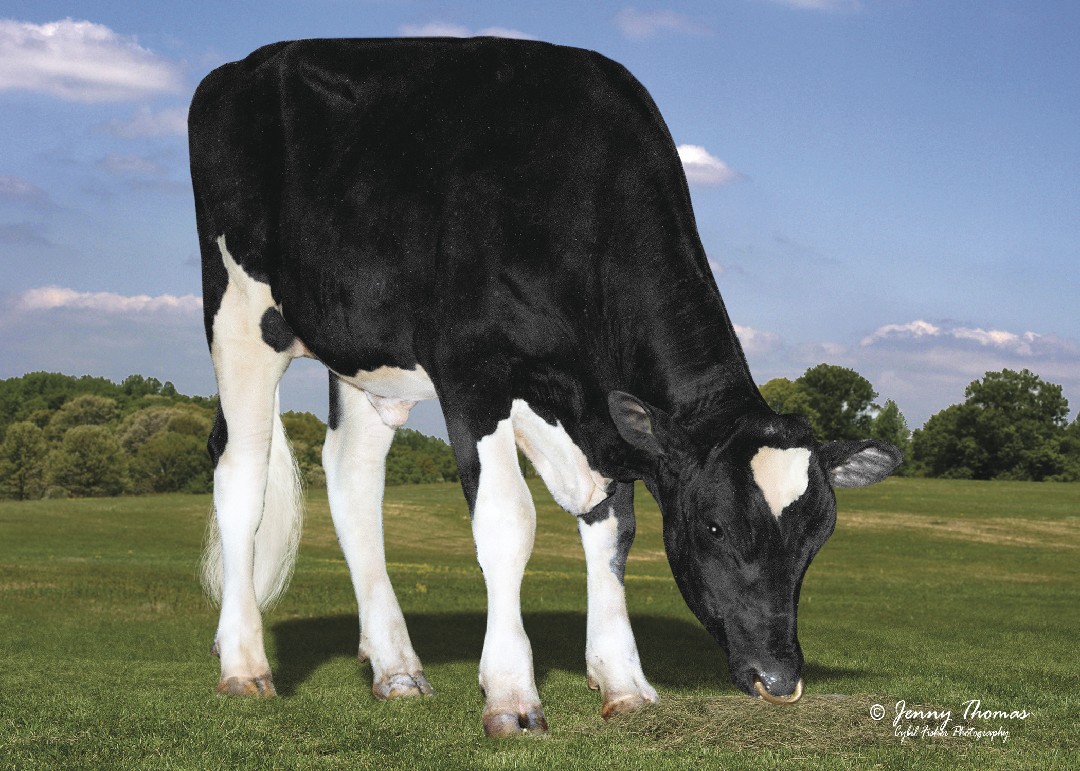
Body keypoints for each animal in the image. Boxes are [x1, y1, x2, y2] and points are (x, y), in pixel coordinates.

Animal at [188, 37, 901, 737]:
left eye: (818, 537)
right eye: (716, 526)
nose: (779, 679)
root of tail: (241, 66)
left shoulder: (585, 409)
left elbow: (612, 528)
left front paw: (623, 683)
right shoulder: (472, 370)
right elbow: (509, 520)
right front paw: (511, 694)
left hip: (366, 355)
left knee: (352, 478)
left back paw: (395, 668)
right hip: (240, 315)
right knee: (242, 476)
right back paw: (244, 666)